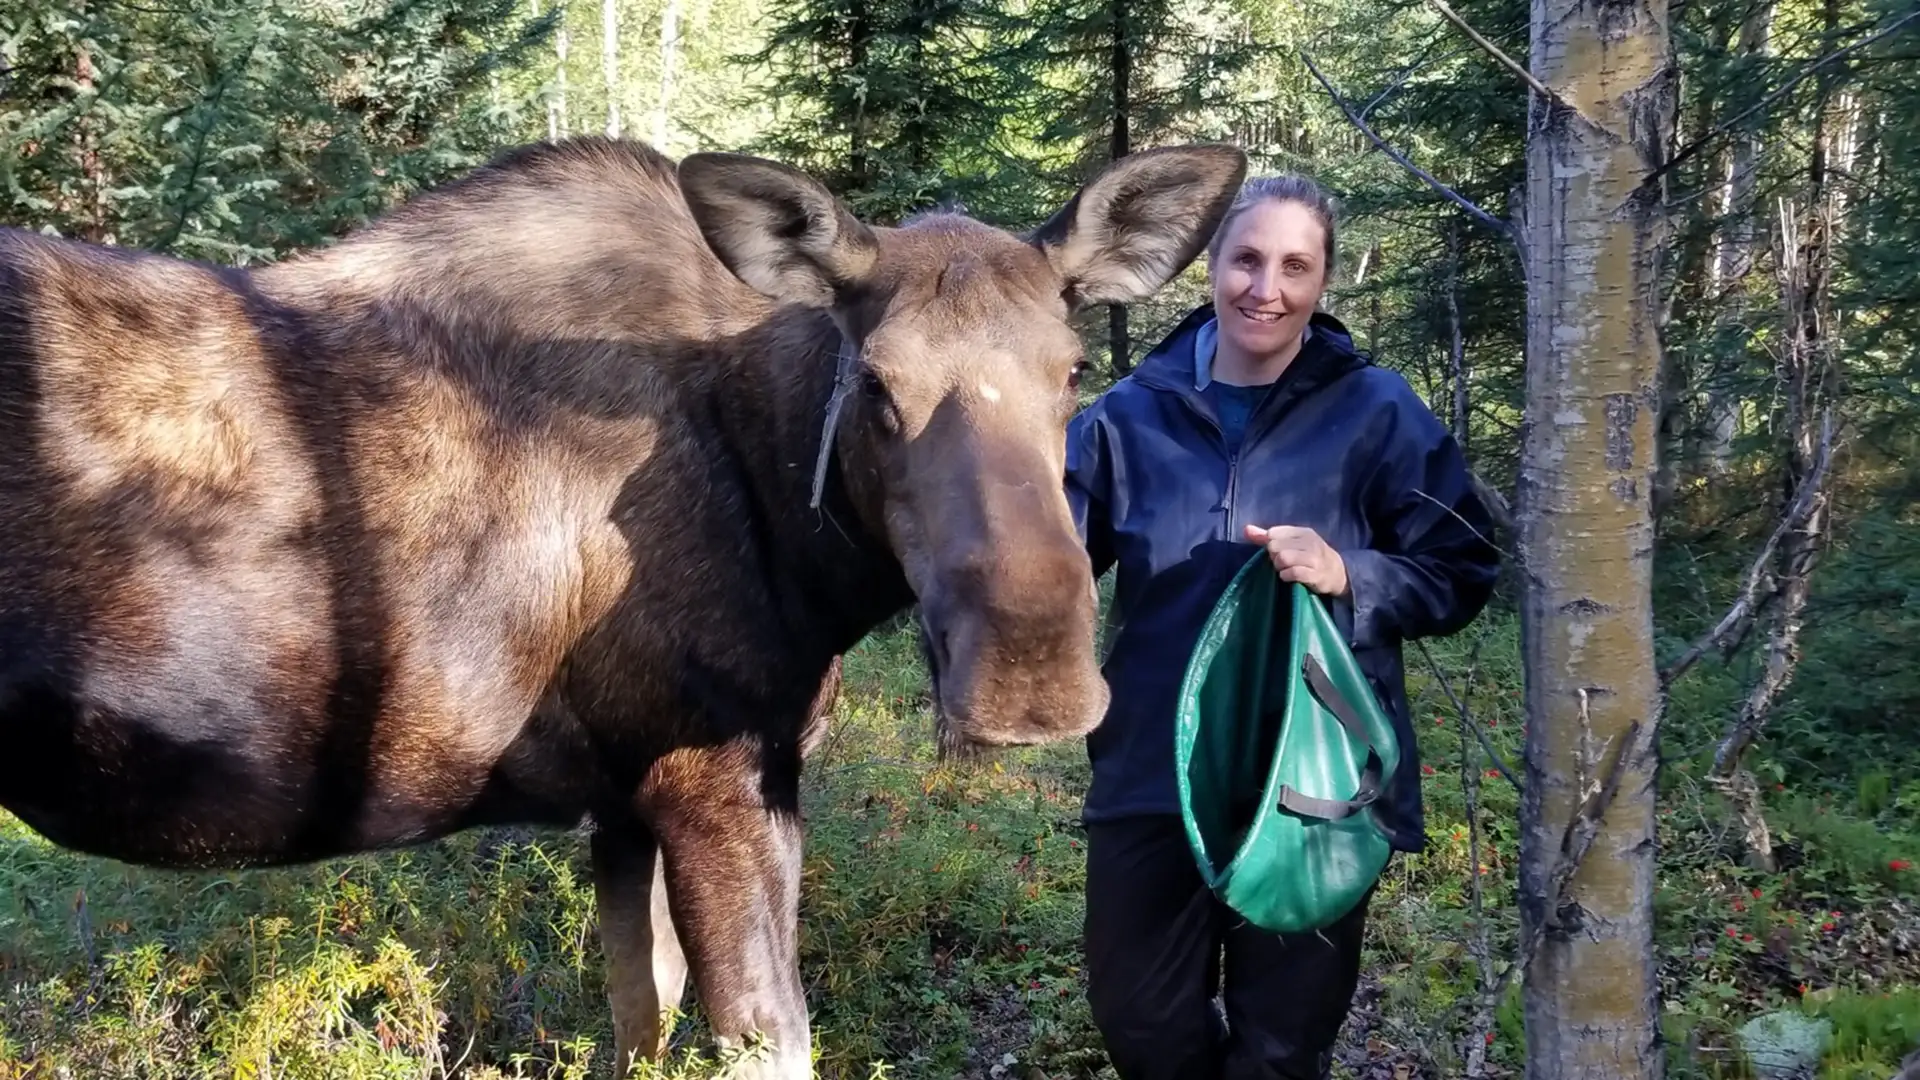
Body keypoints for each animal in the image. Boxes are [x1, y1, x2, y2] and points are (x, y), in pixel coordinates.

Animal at [0, 135, 1248, 1078]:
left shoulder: (622, 800)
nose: (1033, 670)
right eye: (878, 383)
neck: (806, 551)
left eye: (1072, 368)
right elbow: (766, 1038)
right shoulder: (713, 775)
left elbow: (639, 1019)